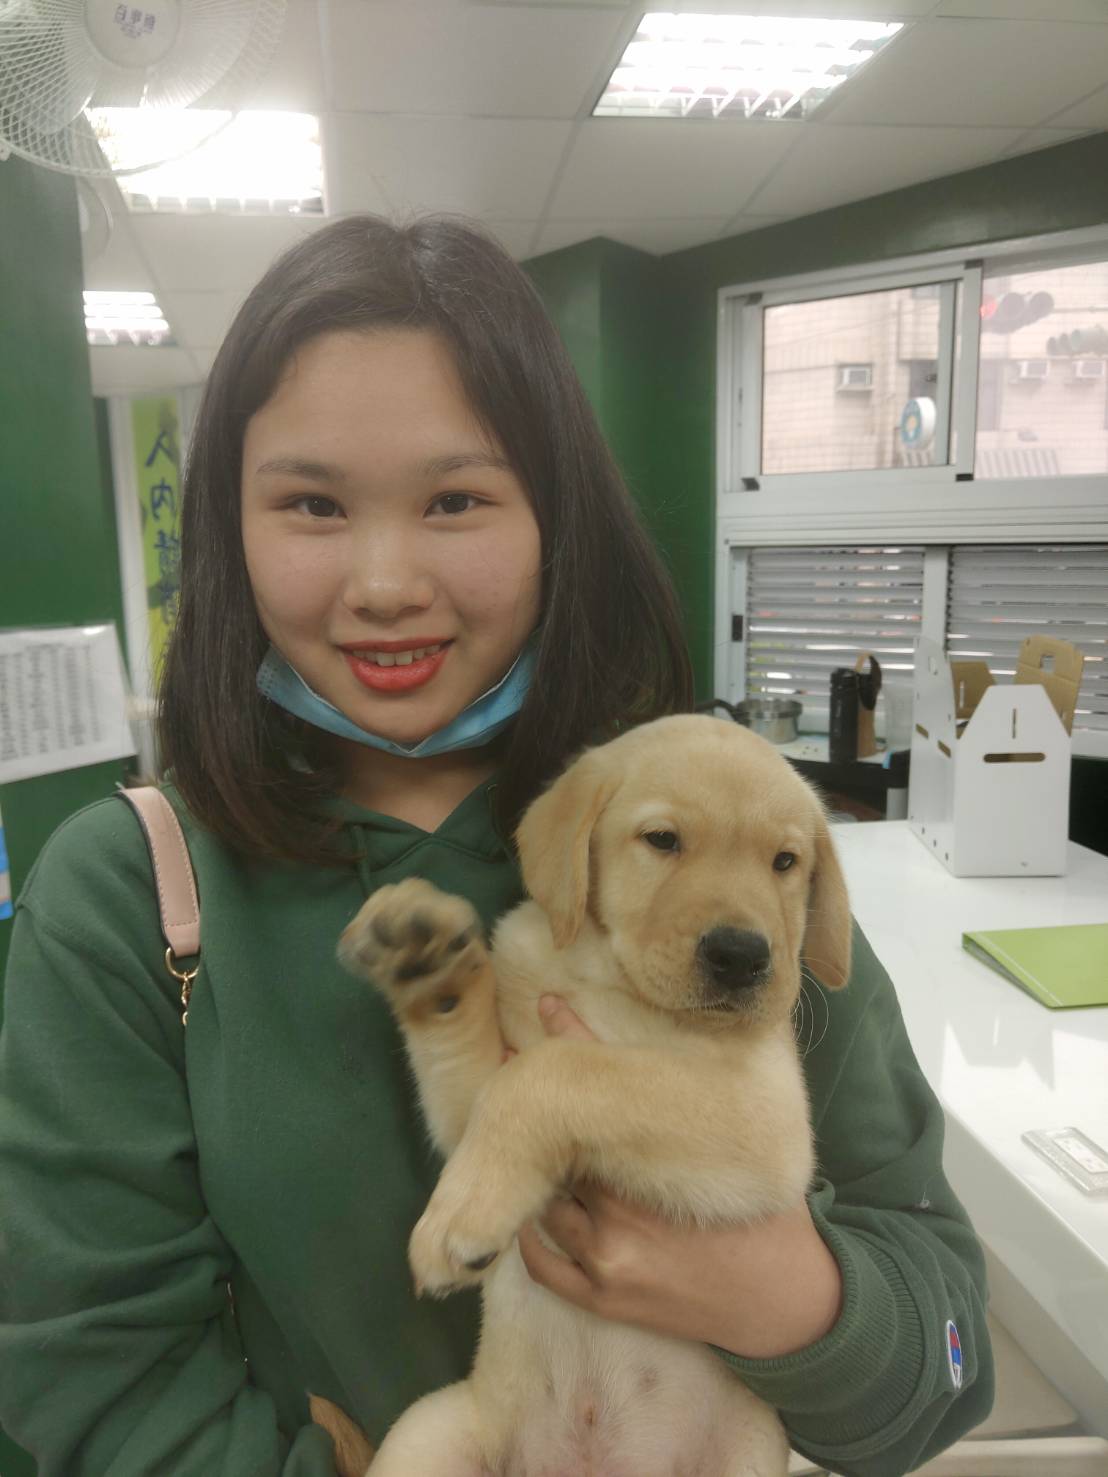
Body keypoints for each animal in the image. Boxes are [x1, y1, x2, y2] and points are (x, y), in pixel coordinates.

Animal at [336, 713, 853, 1476]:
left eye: (785, 862)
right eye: (662, 840)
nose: (741, 956)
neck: (615, 984)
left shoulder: (764, 1122)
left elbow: (564, 1070)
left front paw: (459, 1217)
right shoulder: (472, 1104)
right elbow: (485, 1084)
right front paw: (429, 965)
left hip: (751, 1452)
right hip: (427, 1434)